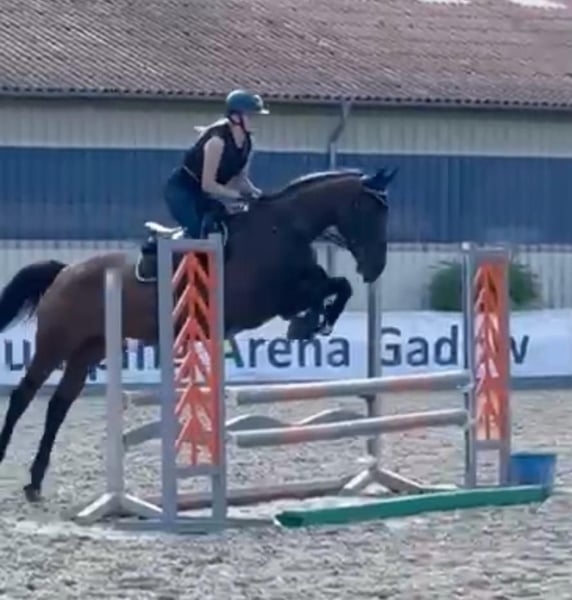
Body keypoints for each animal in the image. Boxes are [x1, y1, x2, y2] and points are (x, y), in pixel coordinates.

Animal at [0, 166, 396, 503]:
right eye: (368, 211)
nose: (376, 268)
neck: (282, 228)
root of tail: (64, 272)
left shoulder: (290, 293)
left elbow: (336, 285)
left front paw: (314, 323)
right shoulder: (269, 299)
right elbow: (325, 289)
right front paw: (308, 323)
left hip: (89, 349)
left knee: (58, 404)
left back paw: (35, 482)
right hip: (56, 342)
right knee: (24, 395)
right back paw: (7, 457)